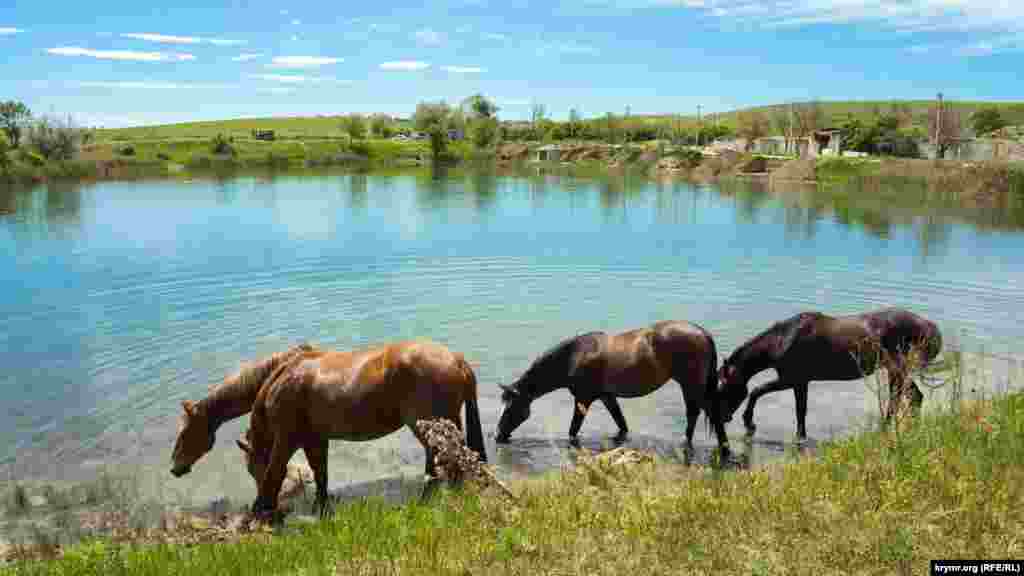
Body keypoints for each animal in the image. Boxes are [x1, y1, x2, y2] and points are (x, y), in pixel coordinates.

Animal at [237, 336, 485, 516]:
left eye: (252, 469)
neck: (282, 380)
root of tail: (456, 359)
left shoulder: (286, 438)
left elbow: (275, 471)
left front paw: (260, 508)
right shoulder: (315, 439)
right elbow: (320, 472)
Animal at [493, 317, 729, 453]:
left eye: (511, 407)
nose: (498, 436)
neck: (573, 356)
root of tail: (703, 333)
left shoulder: (583, 399)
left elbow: (573, 430)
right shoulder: (607, 397)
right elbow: (621, 424)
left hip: (691, 385)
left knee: (703, 414)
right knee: (698, 414)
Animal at [716, 307, 937, 436]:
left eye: (723, 389)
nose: (723, 417)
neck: (780, 341)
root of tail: (926, 325)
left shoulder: (792, 379)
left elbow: (758, 391)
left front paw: (749, 421)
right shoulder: (800, 382)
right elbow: (800, 411)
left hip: (896, 368)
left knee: (900, 398)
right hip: (898, 370)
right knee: (913, 396)